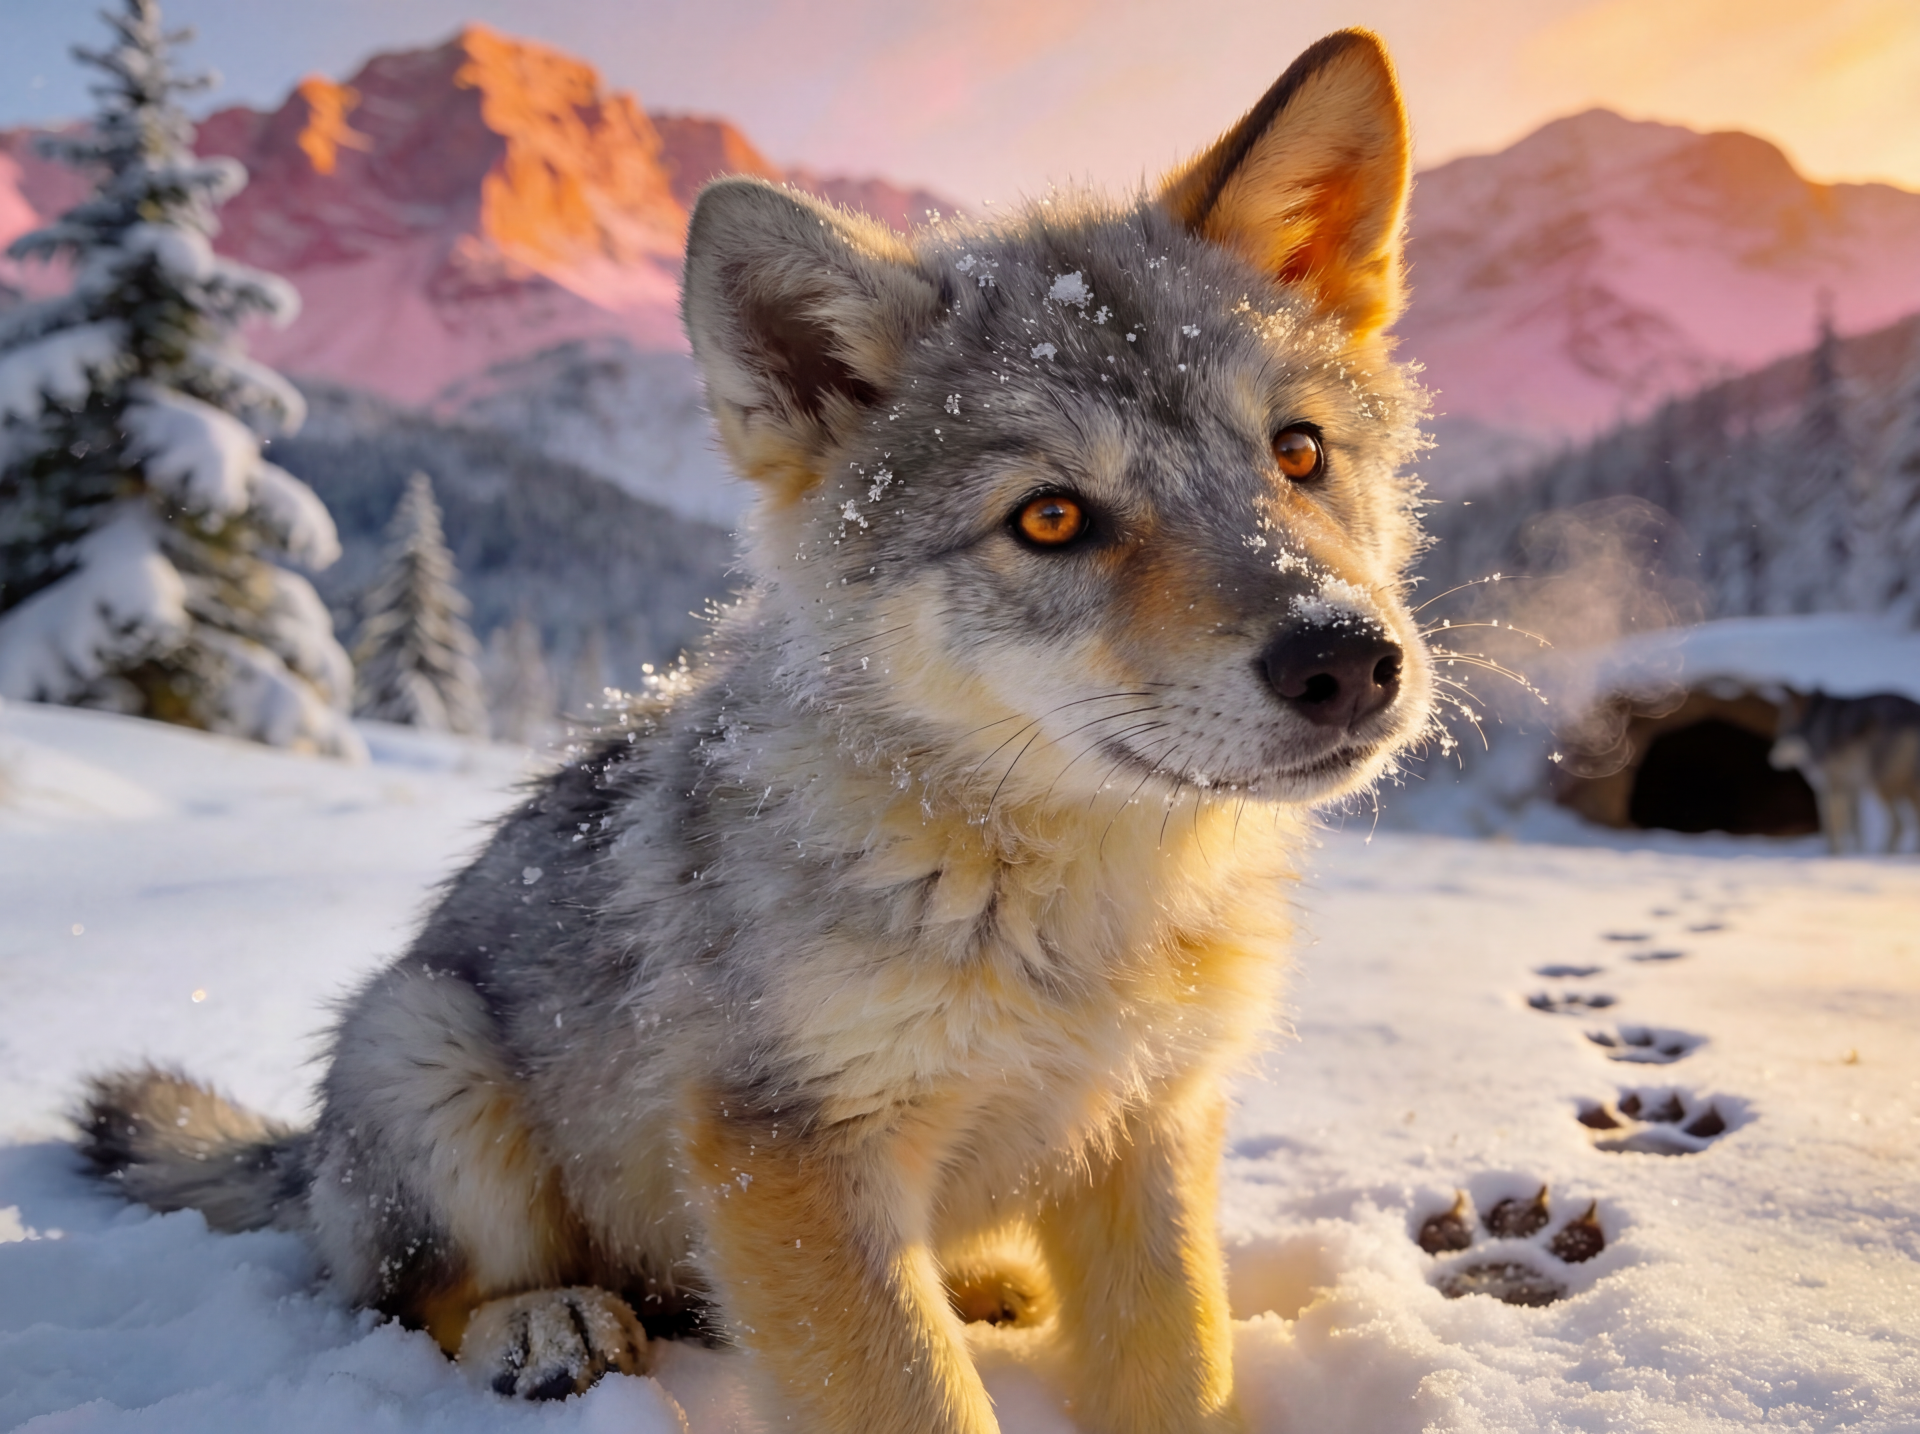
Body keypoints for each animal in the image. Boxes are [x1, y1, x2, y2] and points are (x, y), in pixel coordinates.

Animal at [79, 30, 1434, 1434]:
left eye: (1297, 452)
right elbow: (920, 1396)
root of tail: (306, 1151)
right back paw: (547, 1322)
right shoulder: (788, 1151)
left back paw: (989, 1280)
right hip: (430, 1053)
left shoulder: (1148, 1130)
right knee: (414, 1297)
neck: (1078, 917)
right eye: (1052, 518)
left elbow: (1183, 1371)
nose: (1344, 660)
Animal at [1771, 690, 1920, 853]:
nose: (1771, 759)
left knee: (1899, 823)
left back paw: (1885, 854)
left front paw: (1836, 855)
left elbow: (1834, 826)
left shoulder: (1834, 787)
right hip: (1903, 788)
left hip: (1882, 784)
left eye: (1783, 732)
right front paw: (1856, 852)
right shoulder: (1849, 789)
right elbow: (1852, 827)